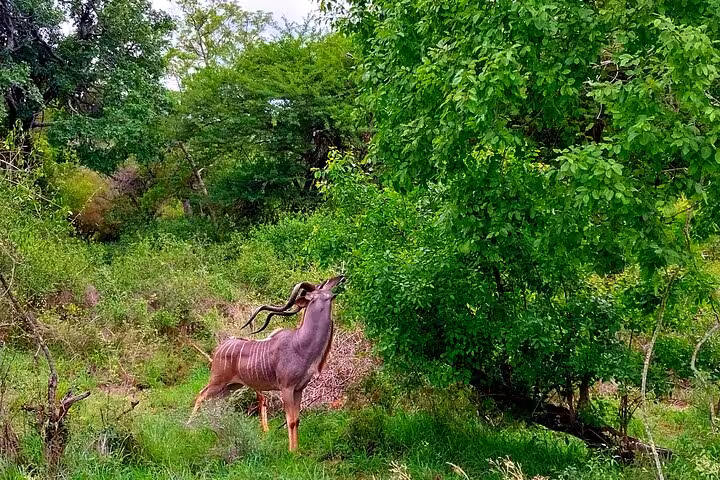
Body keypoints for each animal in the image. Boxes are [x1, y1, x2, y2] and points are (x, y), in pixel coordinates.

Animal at [188, 275, 344, 451]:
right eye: (321, 287)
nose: (340, 277)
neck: (300, 344)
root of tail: (219, 348)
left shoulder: (299, 389)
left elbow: (297, 420)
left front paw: (297, 450)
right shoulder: (286, 388)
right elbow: (290, 421)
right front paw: (292, 452)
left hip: (231, 387)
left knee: (214, 403)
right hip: (217, 381)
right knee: (201, 395)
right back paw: (190, 428)